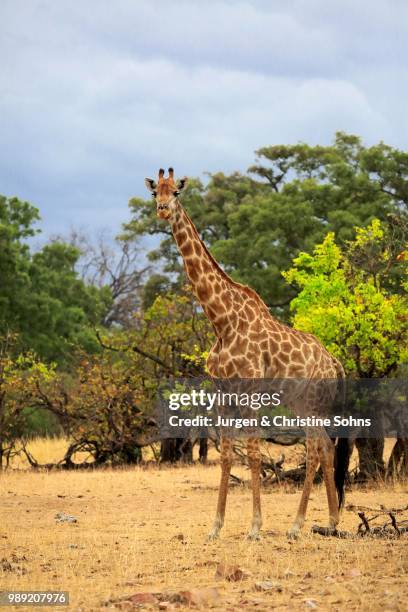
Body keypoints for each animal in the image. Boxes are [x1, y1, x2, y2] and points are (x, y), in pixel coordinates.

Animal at [145, 169, 350, 540]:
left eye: (177, 192)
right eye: (156, 193)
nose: (163, 210)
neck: (221, 321)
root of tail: (335, 363)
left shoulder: (251, 390)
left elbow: (253, 452)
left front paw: (255, 527)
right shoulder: (223, 391)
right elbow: (227, 454)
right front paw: (216, 526)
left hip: (313, 402)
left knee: (315, 450)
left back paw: (297, 525)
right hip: (304, 403)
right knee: (327, 448)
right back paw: (330, 521)